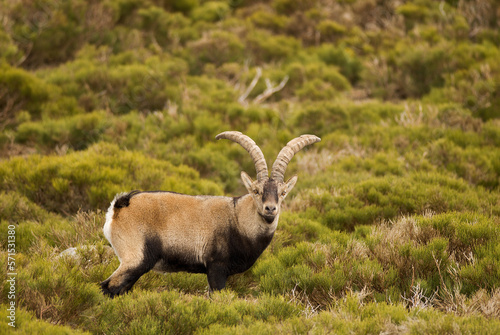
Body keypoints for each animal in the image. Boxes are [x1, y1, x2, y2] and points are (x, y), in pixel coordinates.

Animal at [101, 131, 320, 296]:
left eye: (282, 193)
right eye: (256, 190)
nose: (270, 209)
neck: (238, 219)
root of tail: (120, 206)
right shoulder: (216, 267)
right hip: (135, 258)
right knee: (109, 286)